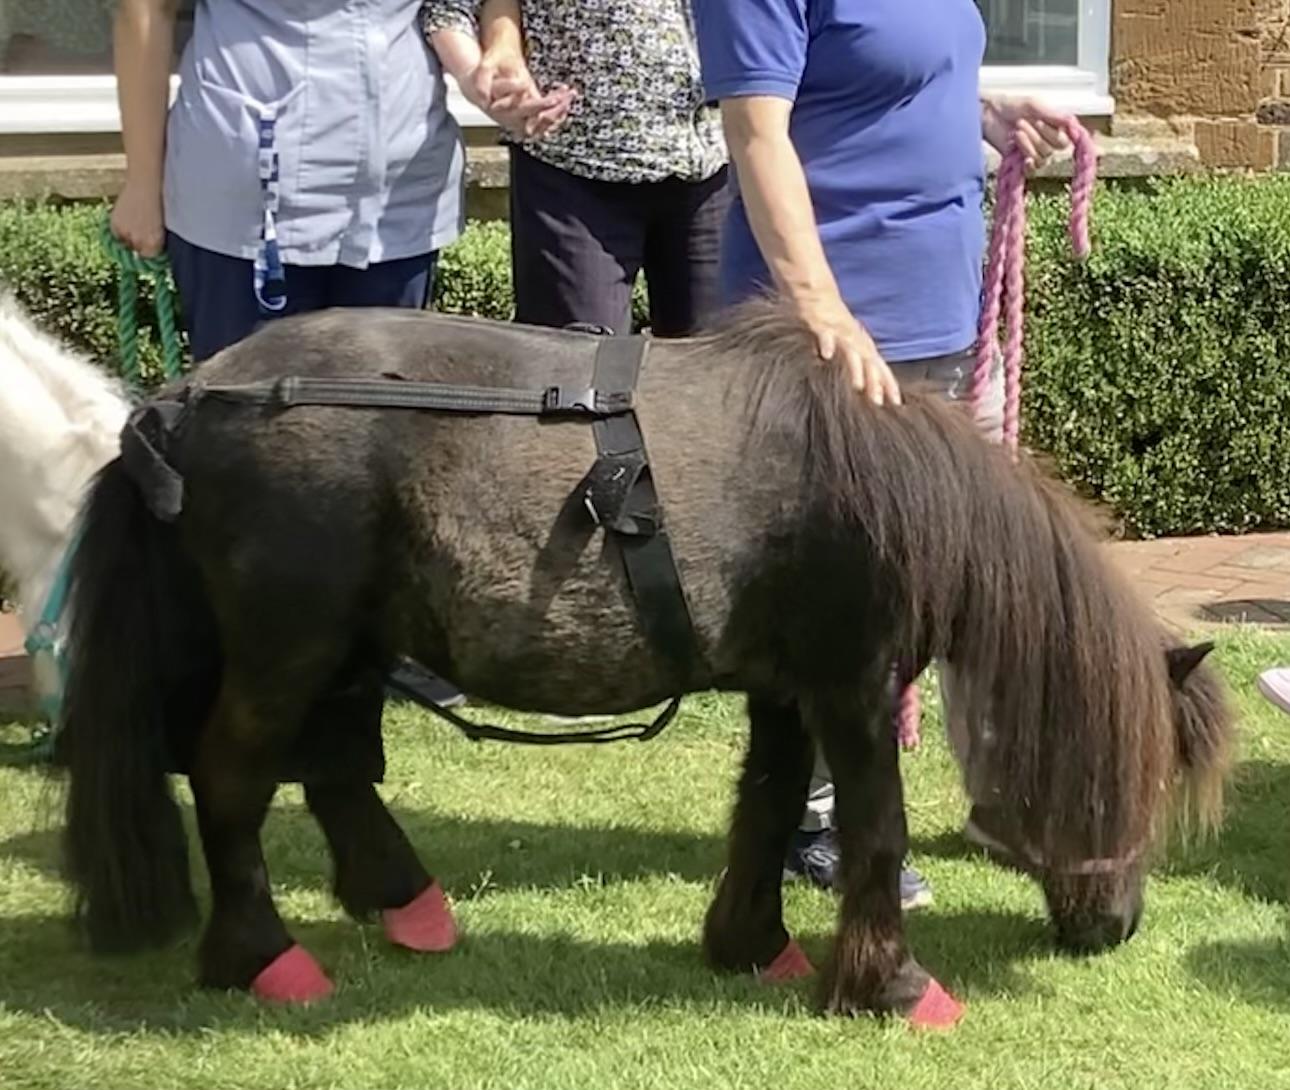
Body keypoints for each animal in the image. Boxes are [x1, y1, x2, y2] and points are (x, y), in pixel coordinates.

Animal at [55, 298, 1233, 1023]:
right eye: (1133, 783)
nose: (1116, 927)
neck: (869, 488)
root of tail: (184, 400)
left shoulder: (785, 691)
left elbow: (768, 806)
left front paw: (753, 943)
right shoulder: (851, 688)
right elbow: (875, 827)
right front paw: (893, 984)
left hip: (347, 644)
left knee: (337, 766)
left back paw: (403, 901)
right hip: (285, 644)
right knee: (233, 778)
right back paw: (262, 954)